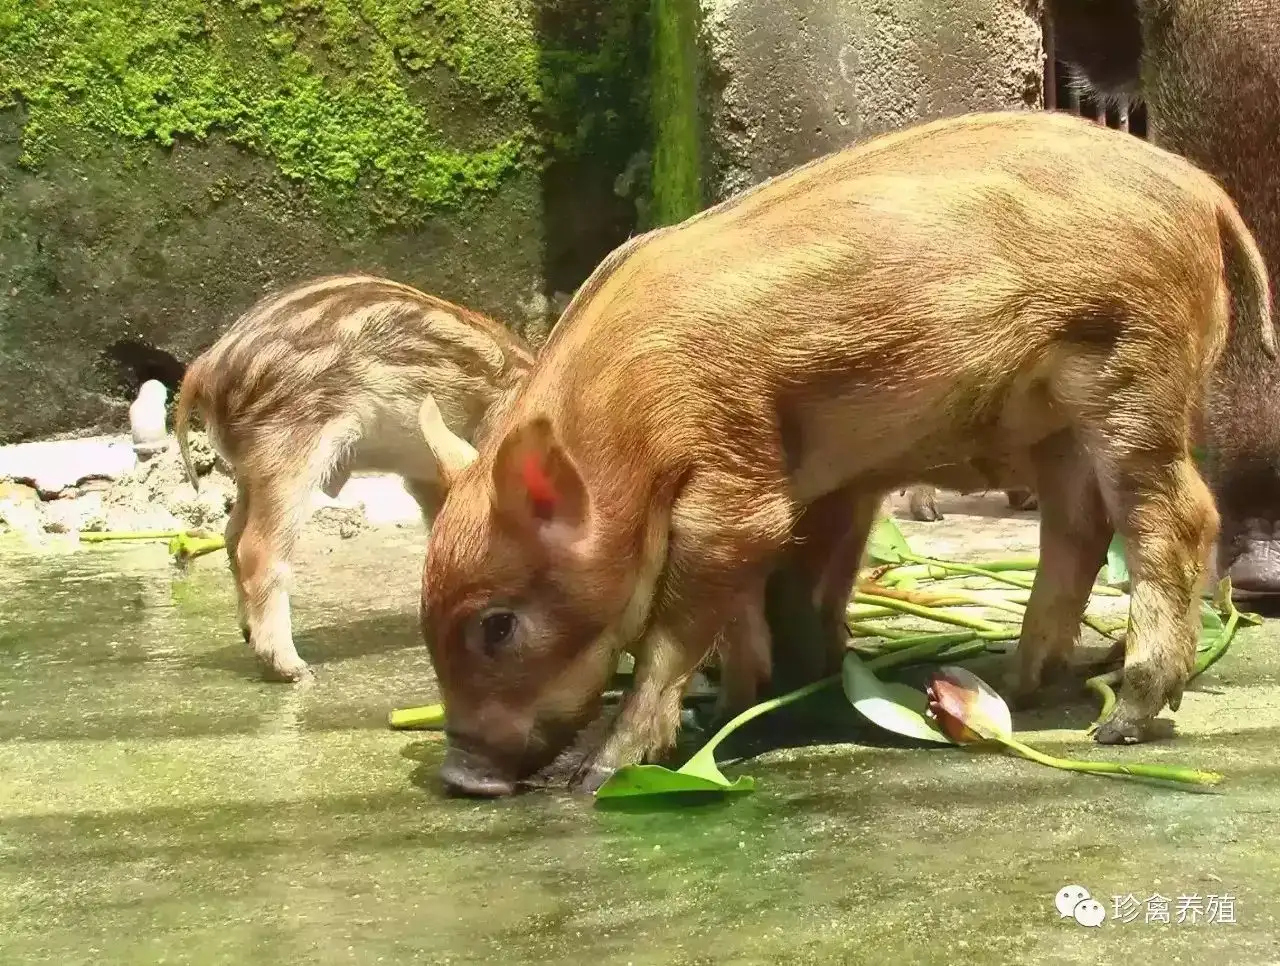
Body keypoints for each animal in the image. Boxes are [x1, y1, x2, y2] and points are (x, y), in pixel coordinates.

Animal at [172, 272, 532, 680]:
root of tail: (204, 368)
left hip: (253, 469)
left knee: (232, 535)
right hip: (290, 452)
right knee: (257, 549)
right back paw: (293, 669)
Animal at [412, 109, 1269, 798]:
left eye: (497, 626)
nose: (460, 777)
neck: (630, 424)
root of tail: (1200, 189)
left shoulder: (734, 481)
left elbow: (681, 625)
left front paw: (595, 776)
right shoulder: (807, 489)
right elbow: (770, 602)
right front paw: (749, 700)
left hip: (1135, 372)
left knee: (1176, 517)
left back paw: (1120, 722)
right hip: (1058, 425)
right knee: (1078, 528)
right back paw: (1018, 686)